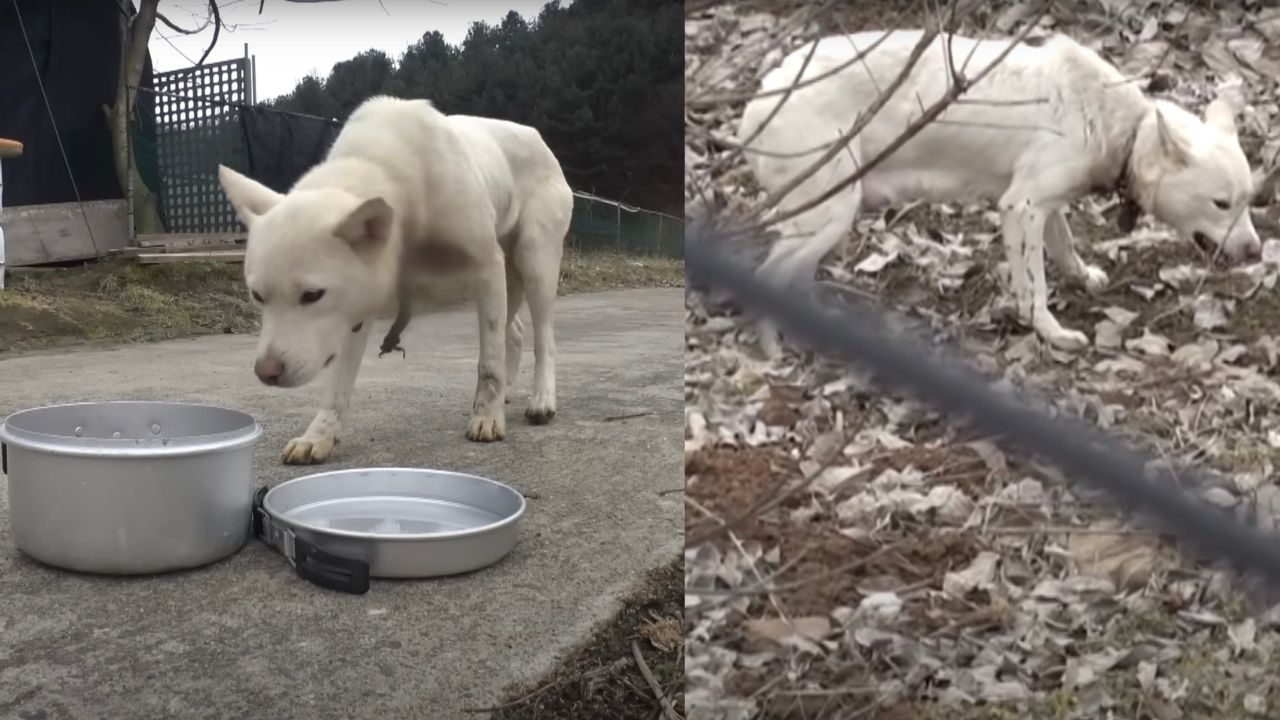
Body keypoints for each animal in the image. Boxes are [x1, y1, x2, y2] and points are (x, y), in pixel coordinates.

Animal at [218, 95, 570, 461]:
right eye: (257, 296)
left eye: (312, 295)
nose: (266, 372)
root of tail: (535, 136)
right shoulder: (355, 308)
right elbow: (338, 385)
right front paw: (319, 435)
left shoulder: (486, 265)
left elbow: (489, 362)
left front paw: (487, 417)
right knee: (513, 331)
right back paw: (509, 390)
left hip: (534, 260)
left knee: (542, 337)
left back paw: (542, 399)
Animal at [737, 28, 1264, 353]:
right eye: (1221, 204)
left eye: (1248, 203)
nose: (1257, 252)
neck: (1123, 127)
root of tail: (758, 99)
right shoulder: (1021, 207)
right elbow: (1035, 288)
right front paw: (1052, 333)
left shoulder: (1042, 203)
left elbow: (1065, 246)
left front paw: (1083, 277)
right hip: (829, 212)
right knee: (767, 274)